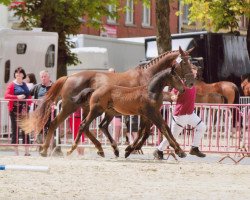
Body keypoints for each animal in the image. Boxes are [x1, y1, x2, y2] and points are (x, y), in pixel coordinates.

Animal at [20, 46, 194, 156]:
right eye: (185, 62)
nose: (191, 82)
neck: (148, 77)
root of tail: (69, 77)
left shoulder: (144, 113)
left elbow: (146, 131)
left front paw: (130, 148)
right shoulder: (145, 112)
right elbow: (146, 131)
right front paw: (130, 148)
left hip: (92, 109)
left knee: (88, 127)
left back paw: (104, 149)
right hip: (71, 107)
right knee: (56, 123)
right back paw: (46, 150)